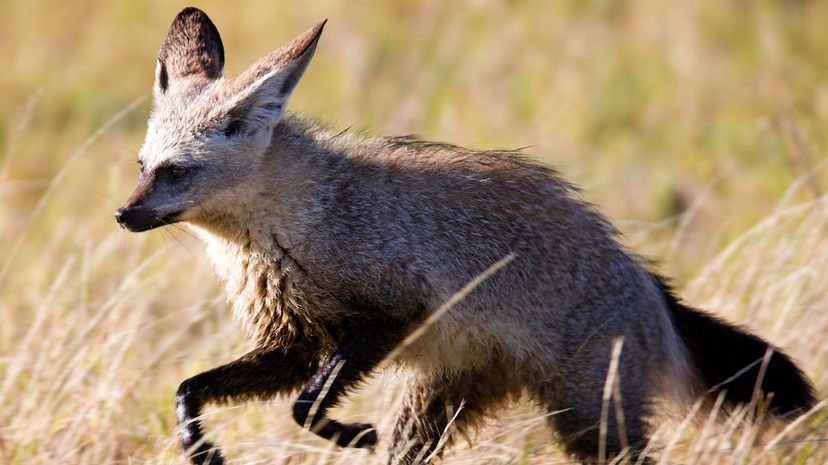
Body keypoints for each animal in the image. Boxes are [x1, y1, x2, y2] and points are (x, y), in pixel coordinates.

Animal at [115, 7, 816, 464]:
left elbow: (305, 408)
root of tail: (654, 288)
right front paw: (197, 444)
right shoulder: (295, 343)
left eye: (177, 171)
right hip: (440, 407)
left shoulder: (389, 315)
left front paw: (345, 433)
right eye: (142, 165)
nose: (122, 216)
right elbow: (190, 388)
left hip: (589, 422)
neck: (308, 222)